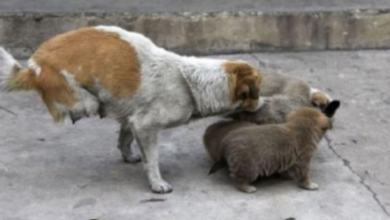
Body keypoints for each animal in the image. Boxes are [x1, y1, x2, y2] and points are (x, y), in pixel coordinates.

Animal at [0, 25, 262, 193]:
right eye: (257, 92)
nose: (264, 103)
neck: (188, 82)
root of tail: (32, 68)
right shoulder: (146, 126)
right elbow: (153, 158)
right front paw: (157, 184)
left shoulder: (132, 118)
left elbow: (124, 138)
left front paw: (128, 155)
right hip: (81, 97)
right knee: (86, 105)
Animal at [206, 107, 334, 193]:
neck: (300, 127)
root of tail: (226, 141)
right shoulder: (303, 159)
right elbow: (304, 175)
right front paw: (309, 185)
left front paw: (287, 175)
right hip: (249, 167)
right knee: (238, 179)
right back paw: (248, 188)